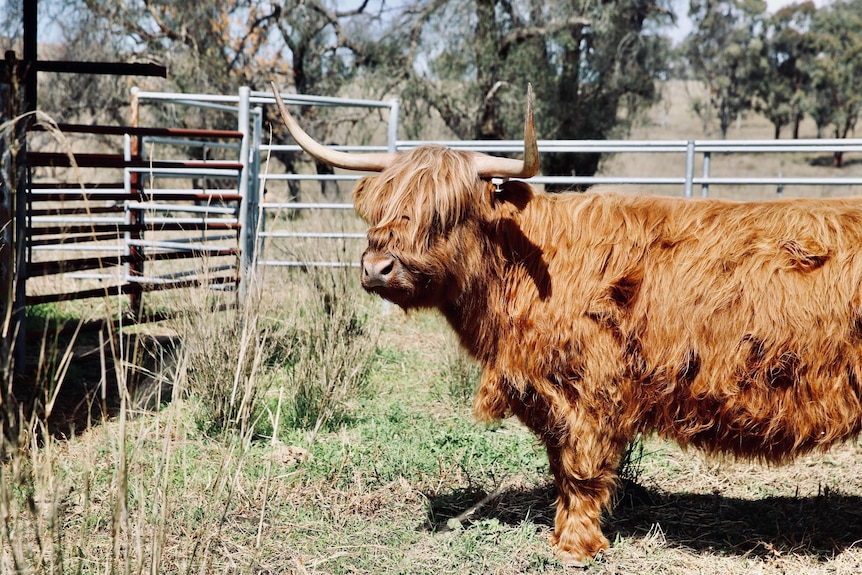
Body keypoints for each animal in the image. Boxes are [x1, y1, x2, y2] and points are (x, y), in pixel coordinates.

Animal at [276, 83, 862, 564]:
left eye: (447, 213)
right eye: (377, 209)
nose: (378, 268)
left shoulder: (592, 387)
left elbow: (580, 467)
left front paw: (575, 547)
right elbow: (560, 465)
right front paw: (562, 534)